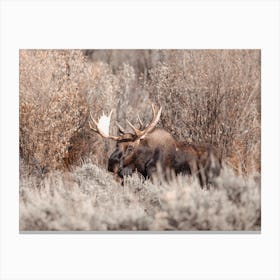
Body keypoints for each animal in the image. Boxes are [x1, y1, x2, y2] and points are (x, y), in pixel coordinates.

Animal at [89, 104, 221, 187]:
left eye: (130, 147)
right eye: (116, 144)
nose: (111, 164)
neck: (142, 162)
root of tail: (220, 158)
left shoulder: (157, 177)